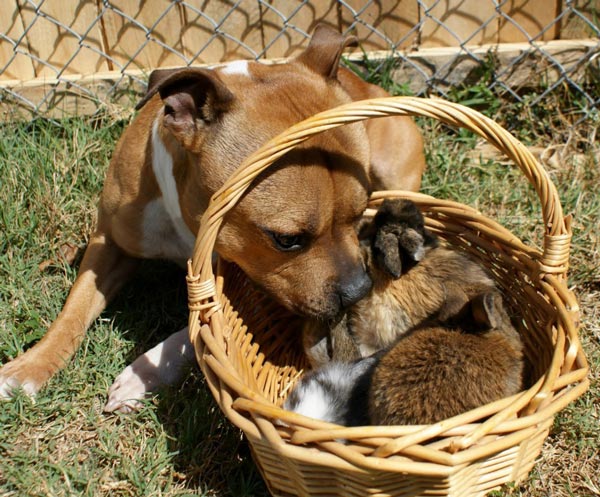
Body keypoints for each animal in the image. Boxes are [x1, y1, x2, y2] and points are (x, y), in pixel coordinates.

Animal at [0, 24, 426, 410]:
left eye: (359, 214)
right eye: (287, 239)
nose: (359, 290)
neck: (185, 223)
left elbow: (197, 330)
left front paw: (144, 372)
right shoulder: (109, 241)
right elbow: (73, 310)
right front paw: (27, 368)